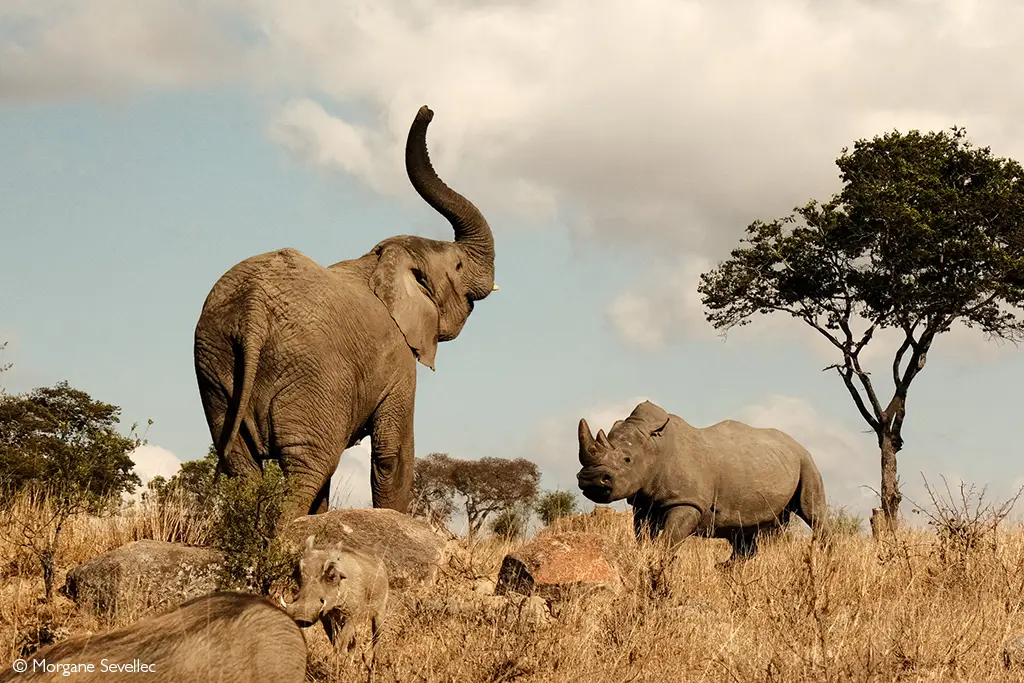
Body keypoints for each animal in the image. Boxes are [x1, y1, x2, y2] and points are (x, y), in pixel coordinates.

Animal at [194, 106, 497, 522]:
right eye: (459, 265)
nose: (428, 109)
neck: (381, 258)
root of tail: (253, 308)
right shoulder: (400, 359)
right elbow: (392, 452)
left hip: (216, 367)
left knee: (246, 466)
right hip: (313, 374)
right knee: (311, 464)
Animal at [286, 535, 388, 668]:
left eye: (331, 575)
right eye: (296, 572)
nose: (301, 617)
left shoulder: (352, 615)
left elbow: (342, 640)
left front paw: (336, 663)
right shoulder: (326, 618)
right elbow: (335, 639)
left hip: (380, 613)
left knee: (377, 639)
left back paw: (373, 665)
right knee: (353, 642)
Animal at [576, 401, 831, 560]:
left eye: (627, 459)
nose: (590, 480)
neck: (655, 447)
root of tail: (797, 444)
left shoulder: (687, 501)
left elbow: (668, 540)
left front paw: (660, 563)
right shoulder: (643, 504)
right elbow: (643, 537)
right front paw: (644, 558)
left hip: (807, 462)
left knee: (814, 513)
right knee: (744, 532)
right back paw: (725, 570)